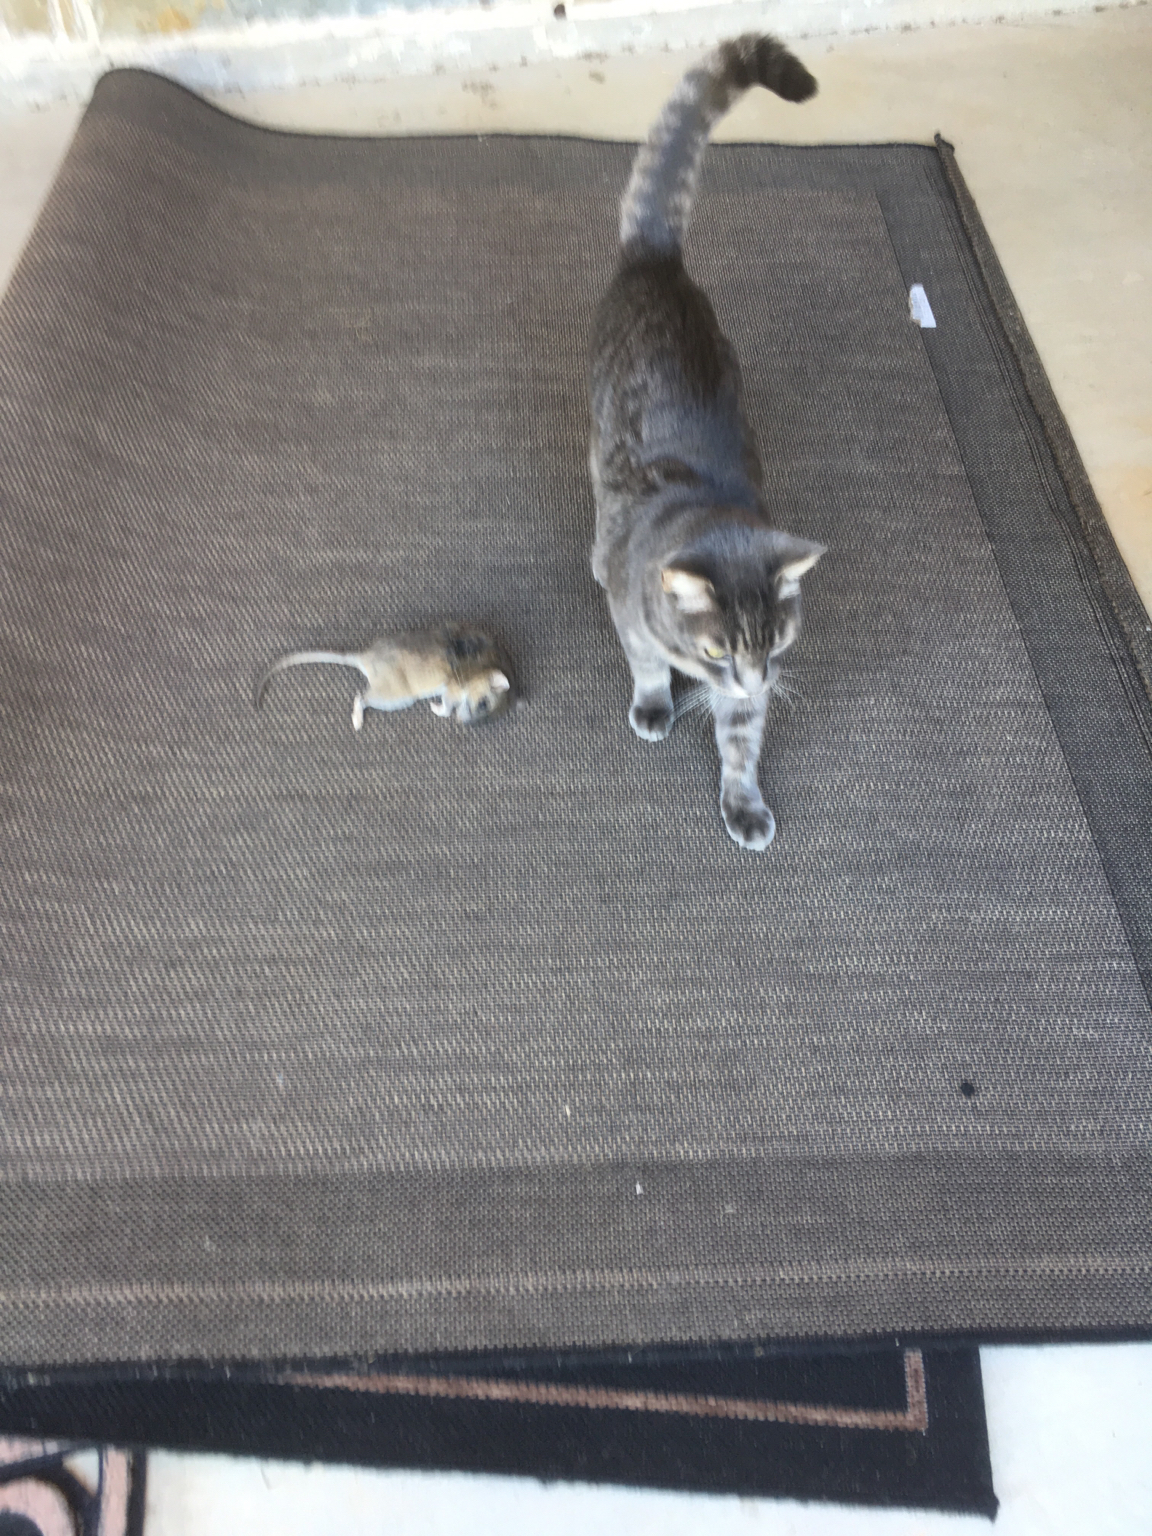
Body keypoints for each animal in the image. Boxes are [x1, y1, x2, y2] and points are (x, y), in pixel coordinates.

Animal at [589, 34, 824, 850]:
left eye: (773, 644)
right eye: (716, 648)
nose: (752, 677)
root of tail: (657, 261)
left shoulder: (755, 692)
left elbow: (742, 742)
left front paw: (744, 803)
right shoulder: (634, 620)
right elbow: (647, 667)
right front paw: (655, 704)